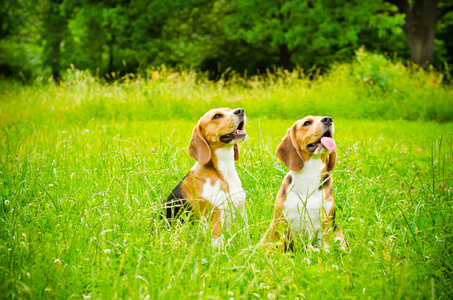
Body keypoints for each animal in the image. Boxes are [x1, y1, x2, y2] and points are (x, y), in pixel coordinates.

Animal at [163, 107, 245, 246]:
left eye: (229, 109)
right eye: (216, 116)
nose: (240, 110)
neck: (223, 173)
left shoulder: (240, 214)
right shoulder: (216, 220)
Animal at [264, 116, 344, 250]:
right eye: (307, 123)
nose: (328, 119)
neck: (309, 177)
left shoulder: (325, 223)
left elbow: (325, 248)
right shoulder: (280, 222)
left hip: (337, 231)